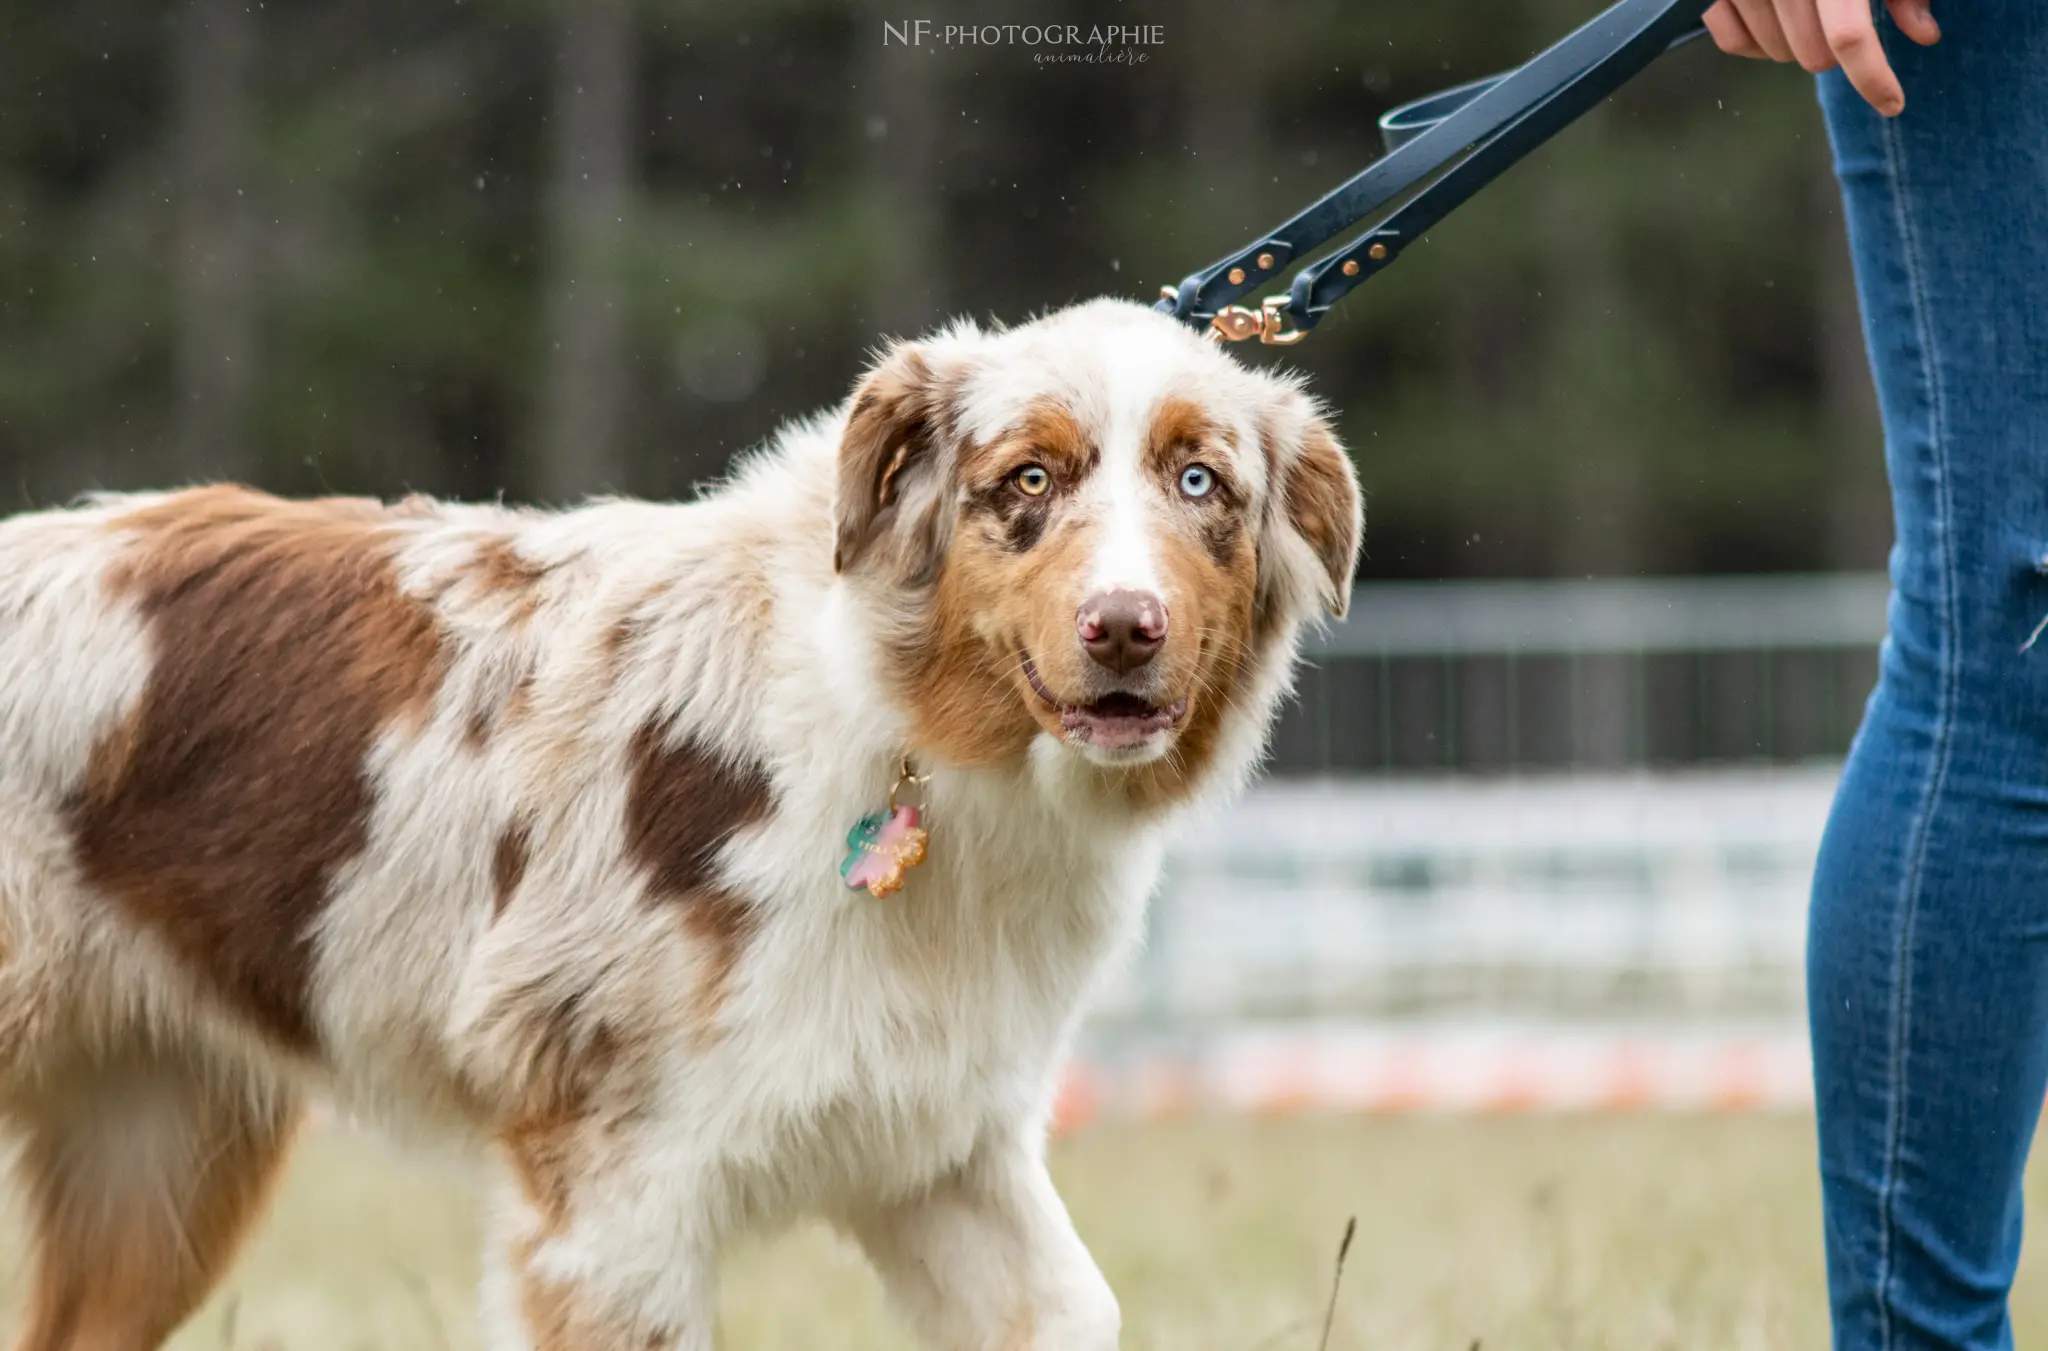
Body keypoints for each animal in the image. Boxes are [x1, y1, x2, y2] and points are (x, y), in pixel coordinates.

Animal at [0, 298, 1359, 1351]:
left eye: (1199, 481)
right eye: (1028, 478)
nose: (1123, 626)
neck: (901, 736)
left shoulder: (941, 1147)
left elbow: (1071, 1306)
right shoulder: (612, 1188)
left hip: (156, 1150)